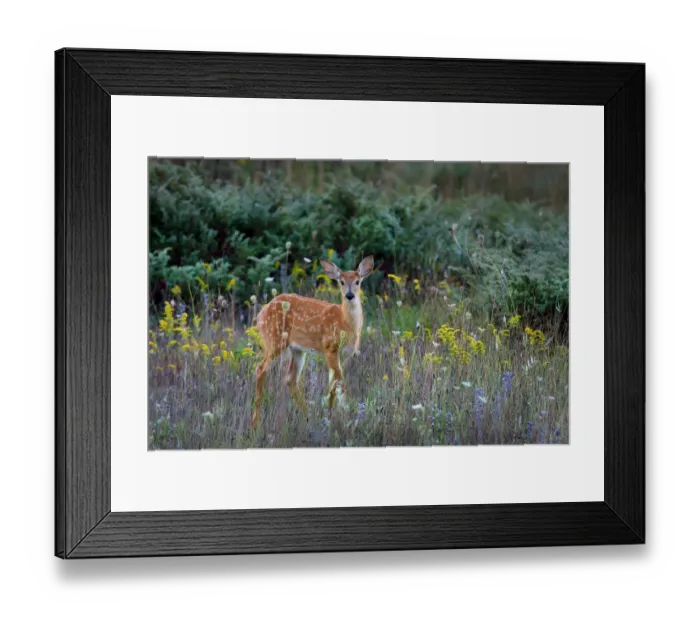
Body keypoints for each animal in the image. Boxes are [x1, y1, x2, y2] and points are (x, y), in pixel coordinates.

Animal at [251, 256, 374, 430]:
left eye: (357, 281)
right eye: (341, 281)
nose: (350, 295)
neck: (345, 322)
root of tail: (261, 314)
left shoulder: (345, 355)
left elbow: (333, 384)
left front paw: (330, 417)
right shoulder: (330, 347)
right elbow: (339, 383)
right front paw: (347, 415)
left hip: (297, 349)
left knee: (290, 379)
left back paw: (307, 418)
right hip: (274, 339)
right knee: (261, 368)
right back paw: (255, 425)